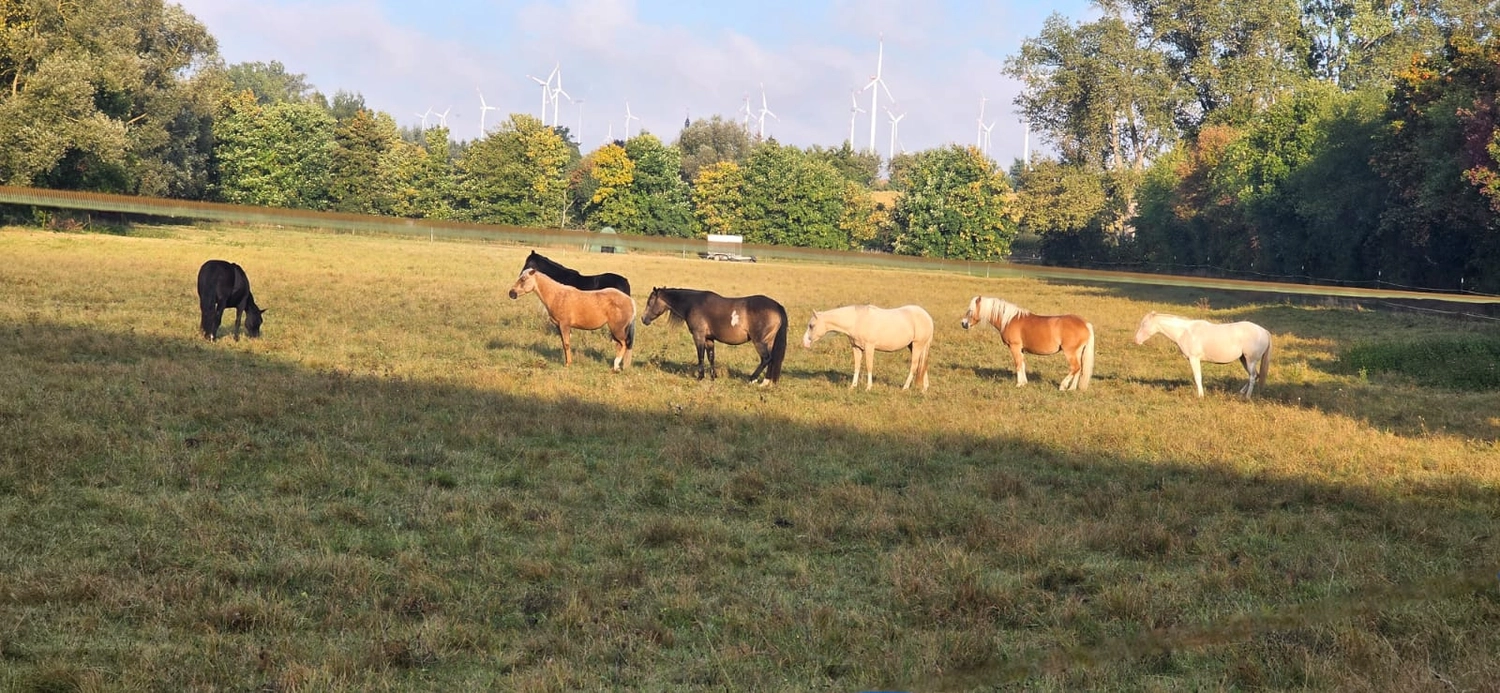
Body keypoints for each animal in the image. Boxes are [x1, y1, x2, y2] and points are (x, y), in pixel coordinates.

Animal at [641, 287, 788, 386]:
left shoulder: (699, 336)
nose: (643, 319)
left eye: (650, 302)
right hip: (769, 341)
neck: (692, 304)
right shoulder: (709, 339)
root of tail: (776, 306)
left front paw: (700, 377)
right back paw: (766, 382)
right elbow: (711, 356)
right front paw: (713, 377)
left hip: (759, 342)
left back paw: (753, 379)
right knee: (772, 359)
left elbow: (700, 356)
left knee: (766, 359)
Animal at [802, 305, 934, 391]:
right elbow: (857, 367)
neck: (856, 320)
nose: (805, 342)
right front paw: (853, 386)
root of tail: (927, 317)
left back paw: (905, 388)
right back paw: (924, 388)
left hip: (917, 345)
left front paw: (868, 387)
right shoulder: (856, 348)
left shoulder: (870, 347)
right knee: (923, 365)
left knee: (914, 366)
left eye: (811, 325)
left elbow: (869, 366)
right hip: (915, 346)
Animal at [961, 296, 1095, 391]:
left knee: (1075, 367)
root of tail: (1085, 323)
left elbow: (1018, 364)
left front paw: (1019, 384)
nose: (963, 323)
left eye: (970, 310)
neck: (1009, 319)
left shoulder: (1014, 347)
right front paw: (1024, 383)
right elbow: (1023, 364)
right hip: (1078, 352)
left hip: (1070, 352)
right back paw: (1071, 389)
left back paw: (1063, 386)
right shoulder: (1021, 349)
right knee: (1079, 369)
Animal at [1133, 312, 1271, 399]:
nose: (1136, 340)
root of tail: (1264, 331)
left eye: (1144, 324)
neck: (1185, 332)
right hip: (1243, 359)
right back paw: (1241, 393)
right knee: (1254, 375)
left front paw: (1200, 396)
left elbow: (1197, 377)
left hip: (1250, 360)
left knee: (1252, 377)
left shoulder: (1194, 359)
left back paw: (1247, 397)